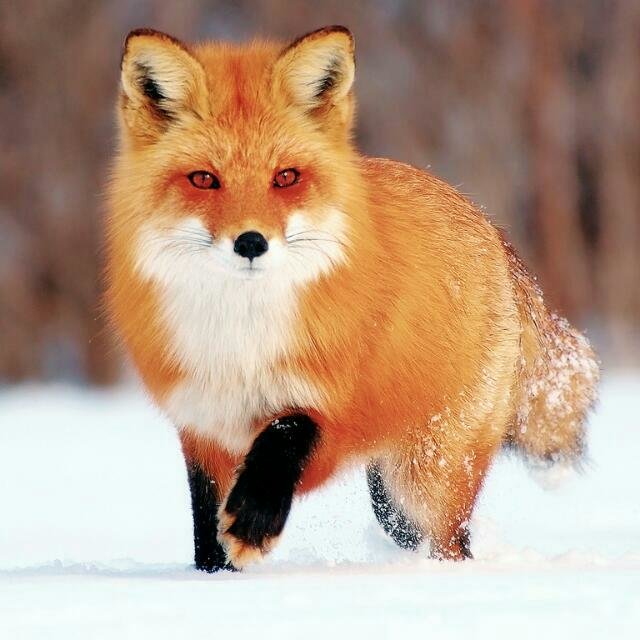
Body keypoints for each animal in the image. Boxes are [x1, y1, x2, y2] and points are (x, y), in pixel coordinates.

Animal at [105, 26, 599, 571]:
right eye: (203, 179)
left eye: (285, 177)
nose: (251, 242)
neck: (242, 343)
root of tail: (490, 226)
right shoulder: (202, 425)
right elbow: (205, 530)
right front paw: (214, 576)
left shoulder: (334, 407)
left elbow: (285, 434)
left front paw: (254, 523)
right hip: (392, 498)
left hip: (426, 477)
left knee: (453, 543)